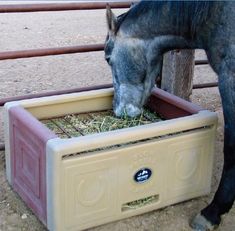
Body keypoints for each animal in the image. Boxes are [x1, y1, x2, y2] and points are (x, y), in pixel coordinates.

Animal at [104, 0, 235, 230]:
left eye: (108, 58)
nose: (118, 111)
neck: (215, 11)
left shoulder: (230, 78)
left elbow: (232, 150)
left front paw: (212, 213)